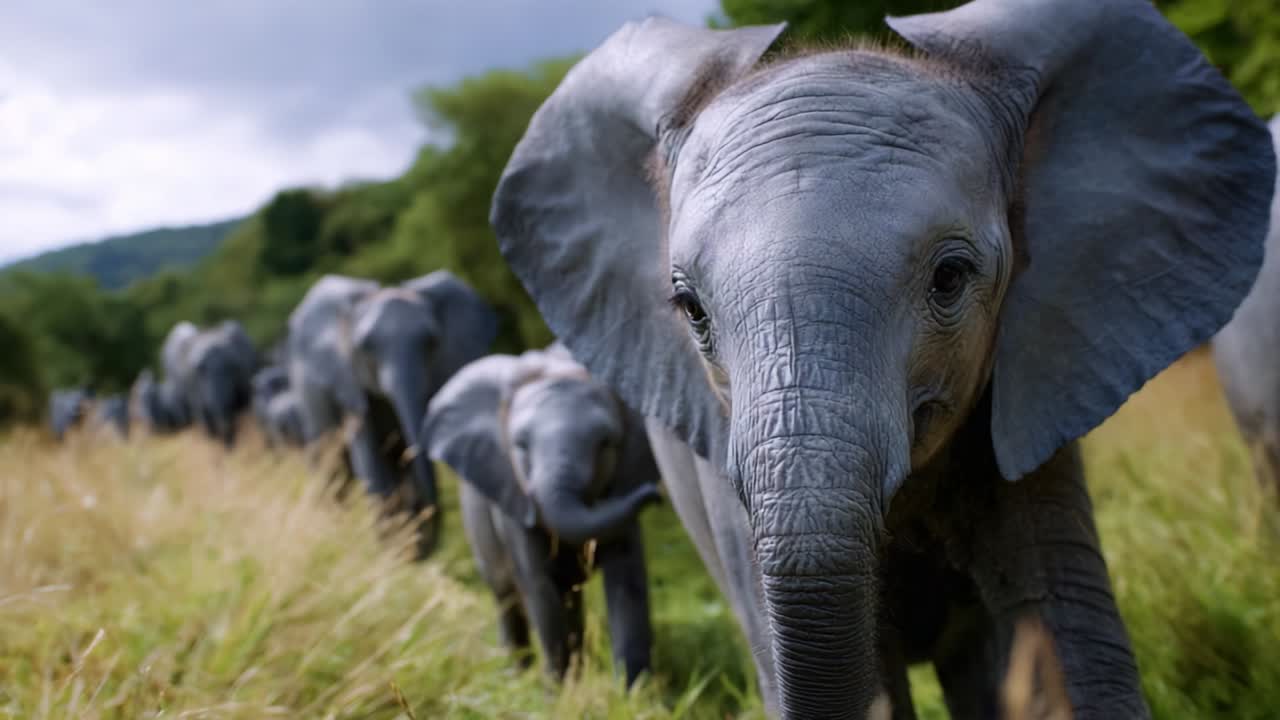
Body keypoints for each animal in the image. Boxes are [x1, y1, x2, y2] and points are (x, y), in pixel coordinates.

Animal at [288, 270, 497, 557]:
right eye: (365, 346)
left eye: (431, 341)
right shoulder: (349, 380)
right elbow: (370, 460)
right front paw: (394, 548)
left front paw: (406, 543)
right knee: (332, 469)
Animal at [424, 344, 661, 684]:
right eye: (520, 445)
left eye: (605, 443)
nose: (654, 495)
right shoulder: (513, 499)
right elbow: (539, 588)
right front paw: (560, 692)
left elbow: (627, 581)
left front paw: (635, 693)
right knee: (505, 594)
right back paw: (517, 673)